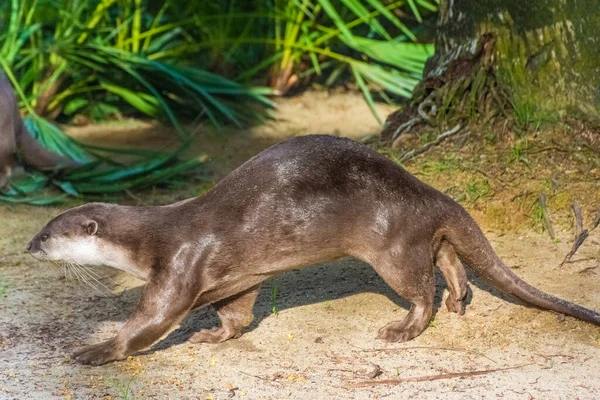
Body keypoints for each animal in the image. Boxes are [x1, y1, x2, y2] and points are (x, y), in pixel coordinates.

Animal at [25, 134, 600, 366]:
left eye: (50, 233)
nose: (29, 246)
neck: (150, 238)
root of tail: (426, 190)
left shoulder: (178, 263)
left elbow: (153, 318)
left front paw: (98, 349)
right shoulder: (238, 277)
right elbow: (236, 314)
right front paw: (212, 334)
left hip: (391, 245)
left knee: (422, 288)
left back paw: (403, 328)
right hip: (418, 232)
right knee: (447, 257)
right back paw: (460, 298)